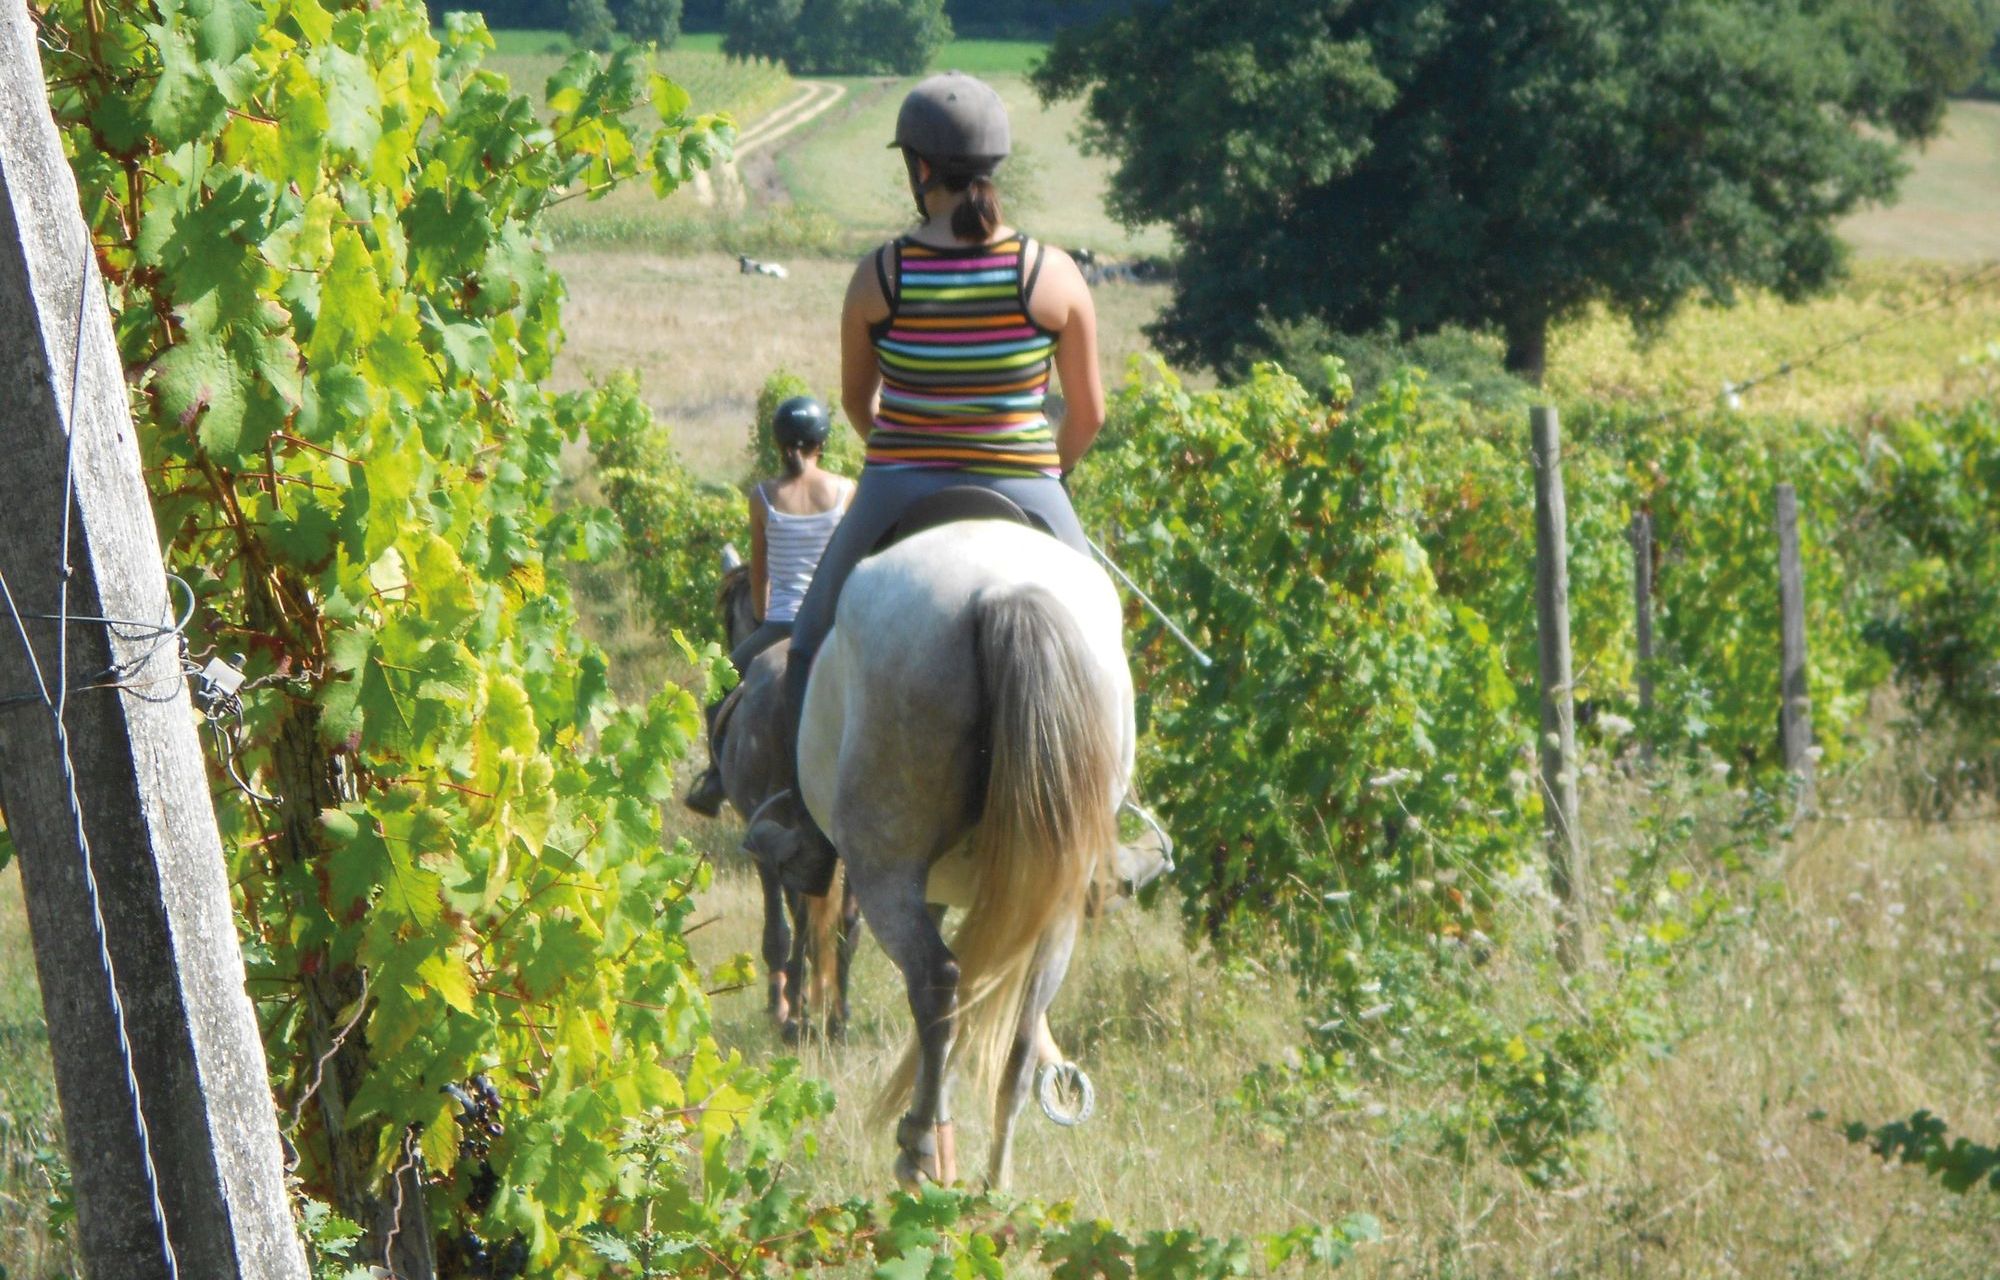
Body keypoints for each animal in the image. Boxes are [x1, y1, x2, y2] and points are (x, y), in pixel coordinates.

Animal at [800, 516, 1144, 1192]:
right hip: (1056, 901)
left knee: (937, 984)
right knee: (1021, 1025)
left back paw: (922, 1149)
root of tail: (1004, 592)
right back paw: (995, 1183)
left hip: (886, 868)